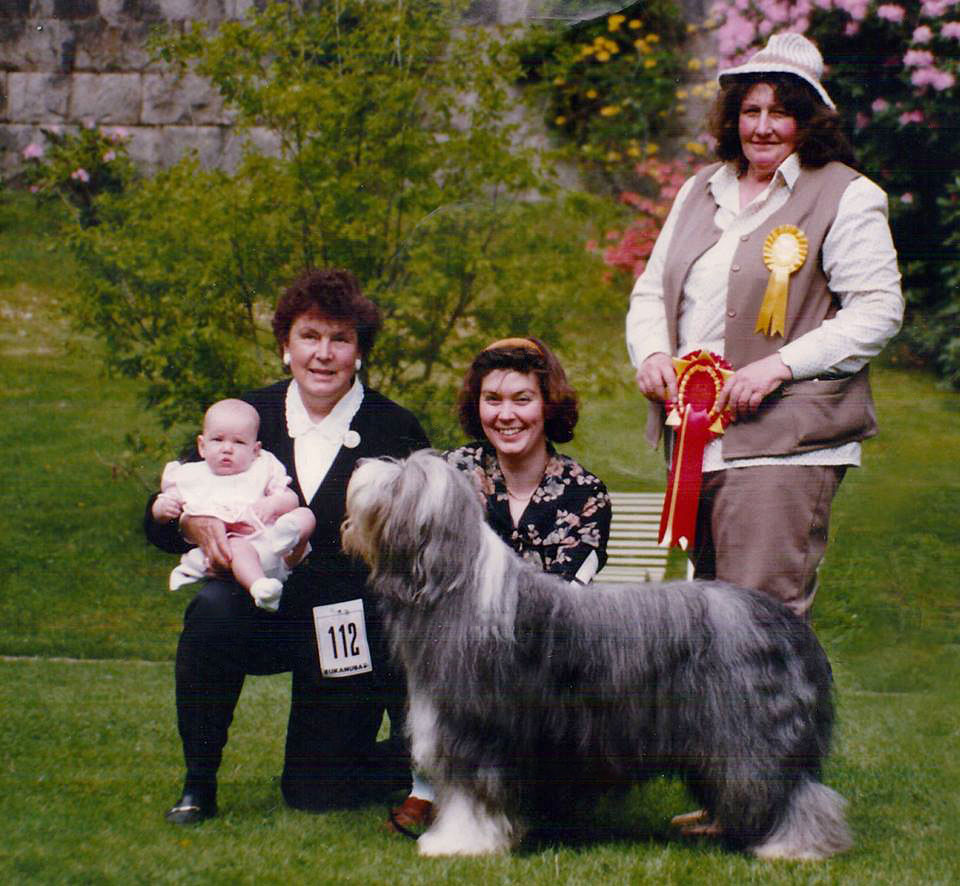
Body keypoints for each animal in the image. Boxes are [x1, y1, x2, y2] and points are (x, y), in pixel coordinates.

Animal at [342, 450, 852, 860]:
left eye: (400, 481)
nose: (360, 466)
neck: (458, 586)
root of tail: (783, 621)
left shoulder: (476, 733)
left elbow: (472, 798)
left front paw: (455, 843)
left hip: (750, 731)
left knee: (789, 790)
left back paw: (793, 847)